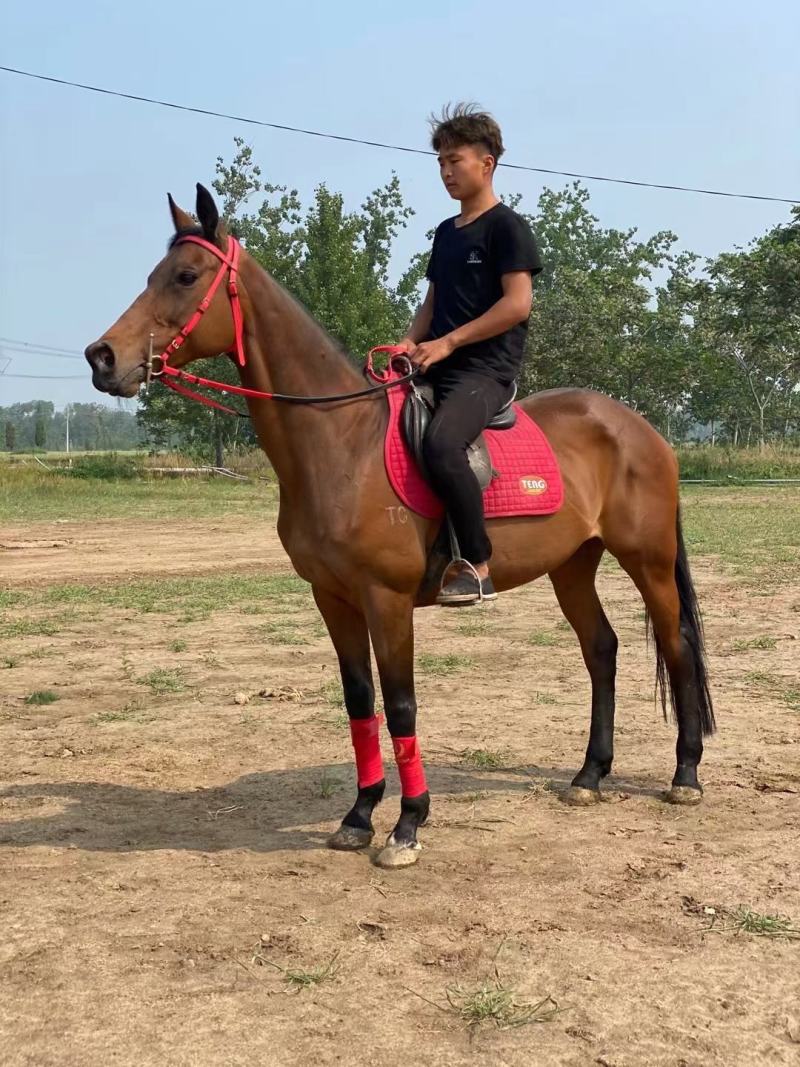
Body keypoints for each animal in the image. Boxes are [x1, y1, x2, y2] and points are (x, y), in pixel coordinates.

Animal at [84, 184, 714, 869]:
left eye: (185, 275)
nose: (102, 357)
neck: (341, 442)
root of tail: (640, 428)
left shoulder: (386, 600)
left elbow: (402, 704)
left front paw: (408, 825)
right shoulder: (332, 598)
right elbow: (360, 702)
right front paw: (359, 815)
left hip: (647, 559)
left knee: (677, 645)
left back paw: (685, 776)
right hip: (573, 563)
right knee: (601, 650)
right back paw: (589, 776)